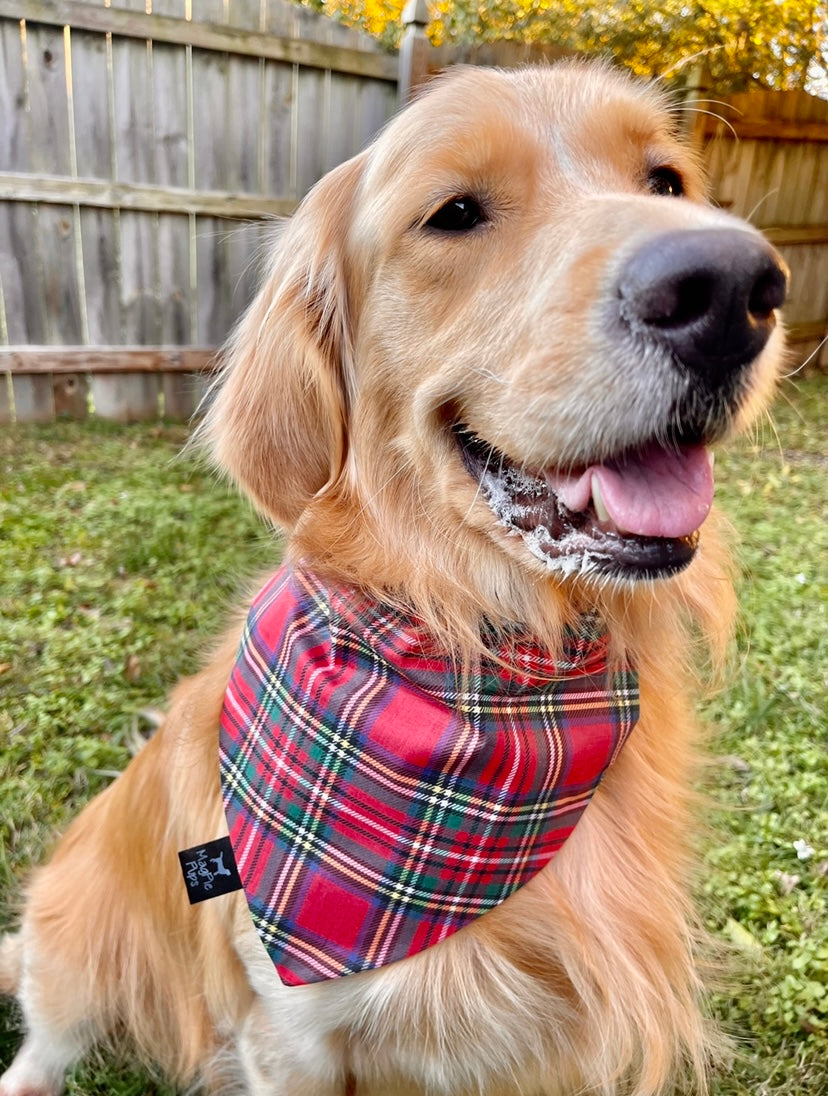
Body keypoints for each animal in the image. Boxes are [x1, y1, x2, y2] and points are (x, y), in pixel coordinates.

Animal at [1, 62, 789, 1096]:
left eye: (666, 181)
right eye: (454, 213)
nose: (736, 288)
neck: (482, 656)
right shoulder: (288, 1027)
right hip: (74, 936)